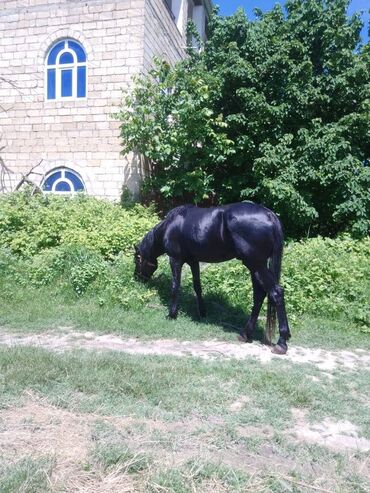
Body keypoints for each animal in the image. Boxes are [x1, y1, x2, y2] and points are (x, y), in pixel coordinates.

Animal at [134, 201, 290, 354]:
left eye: (136, 259)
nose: (138, 278)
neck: (171, 224)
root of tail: (270, 215)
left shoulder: (175, 260)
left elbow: (175, 286)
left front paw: (171, 314)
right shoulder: (193, 261)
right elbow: (197, 286)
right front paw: (202, 312)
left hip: (256, 264)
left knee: (276, 293)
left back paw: (281, 343)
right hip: (255, 266)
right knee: (259, 295)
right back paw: (246, 334)